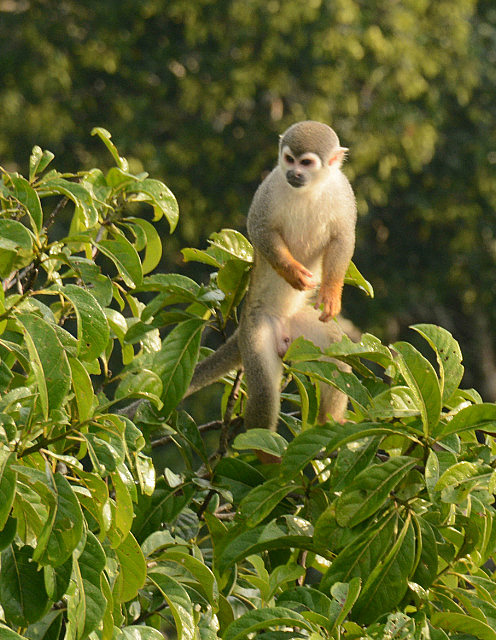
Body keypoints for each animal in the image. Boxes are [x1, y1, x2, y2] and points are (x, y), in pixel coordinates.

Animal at [185, 121, 357, 460]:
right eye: (289, 159)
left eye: (307, 163)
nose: (294, 174)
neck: (309, 190)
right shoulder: (270, 184)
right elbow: (260, 230)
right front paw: (293, 272)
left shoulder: (343, 191)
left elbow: (343, 239)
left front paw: (331, 294)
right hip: (256, 330)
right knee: (264, 392)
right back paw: (266, 456)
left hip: (303, 329)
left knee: (335, 359)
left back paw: (330, 421)